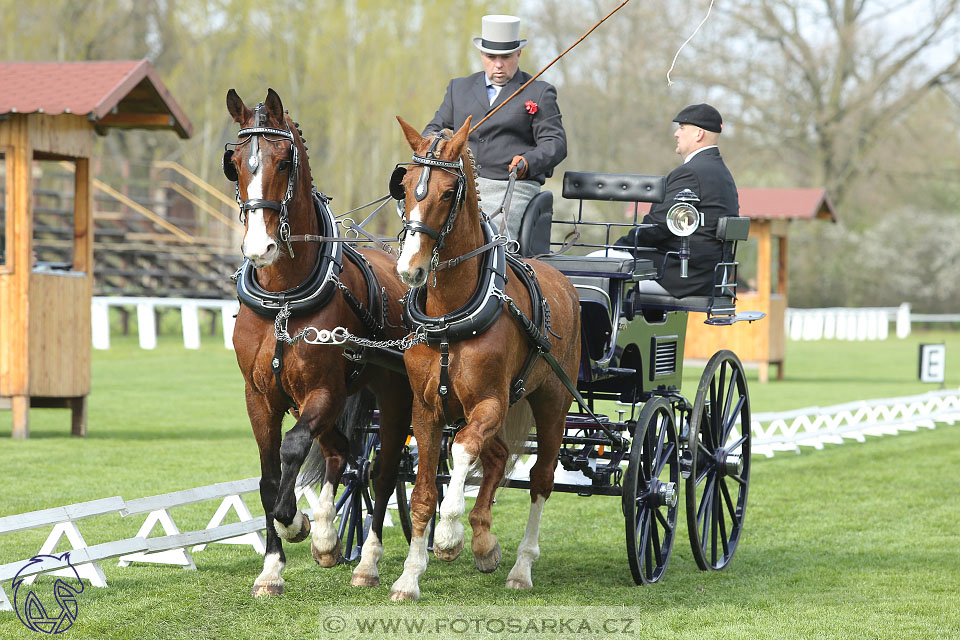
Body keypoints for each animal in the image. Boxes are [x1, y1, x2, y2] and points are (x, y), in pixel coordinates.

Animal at [227, 89, 410, 596]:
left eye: (284, 160)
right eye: (235, 163)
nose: (259, 248)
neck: (284, 298)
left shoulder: (322, 389)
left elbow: (292, 450)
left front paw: (294, 521)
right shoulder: (259, 396)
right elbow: (269, 477)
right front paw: (272, 567)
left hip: (391, 397)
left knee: (381, 470)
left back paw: (366, 561)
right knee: (340, 452)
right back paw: (328, 535)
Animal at [386, 116, 580, 600]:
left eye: (446, 193)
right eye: (406, 185)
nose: (410, 270)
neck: (449, 315)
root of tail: (563, 279)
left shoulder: (490, 402)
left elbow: (461, 450)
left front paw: (449, 535)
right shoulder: (427, 409)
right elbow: (423, 495)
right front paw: (410, 577)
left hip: (551, 403)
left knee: (541, 479)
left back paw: (520, 567)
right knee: (496, 459)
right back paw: (485, 543)